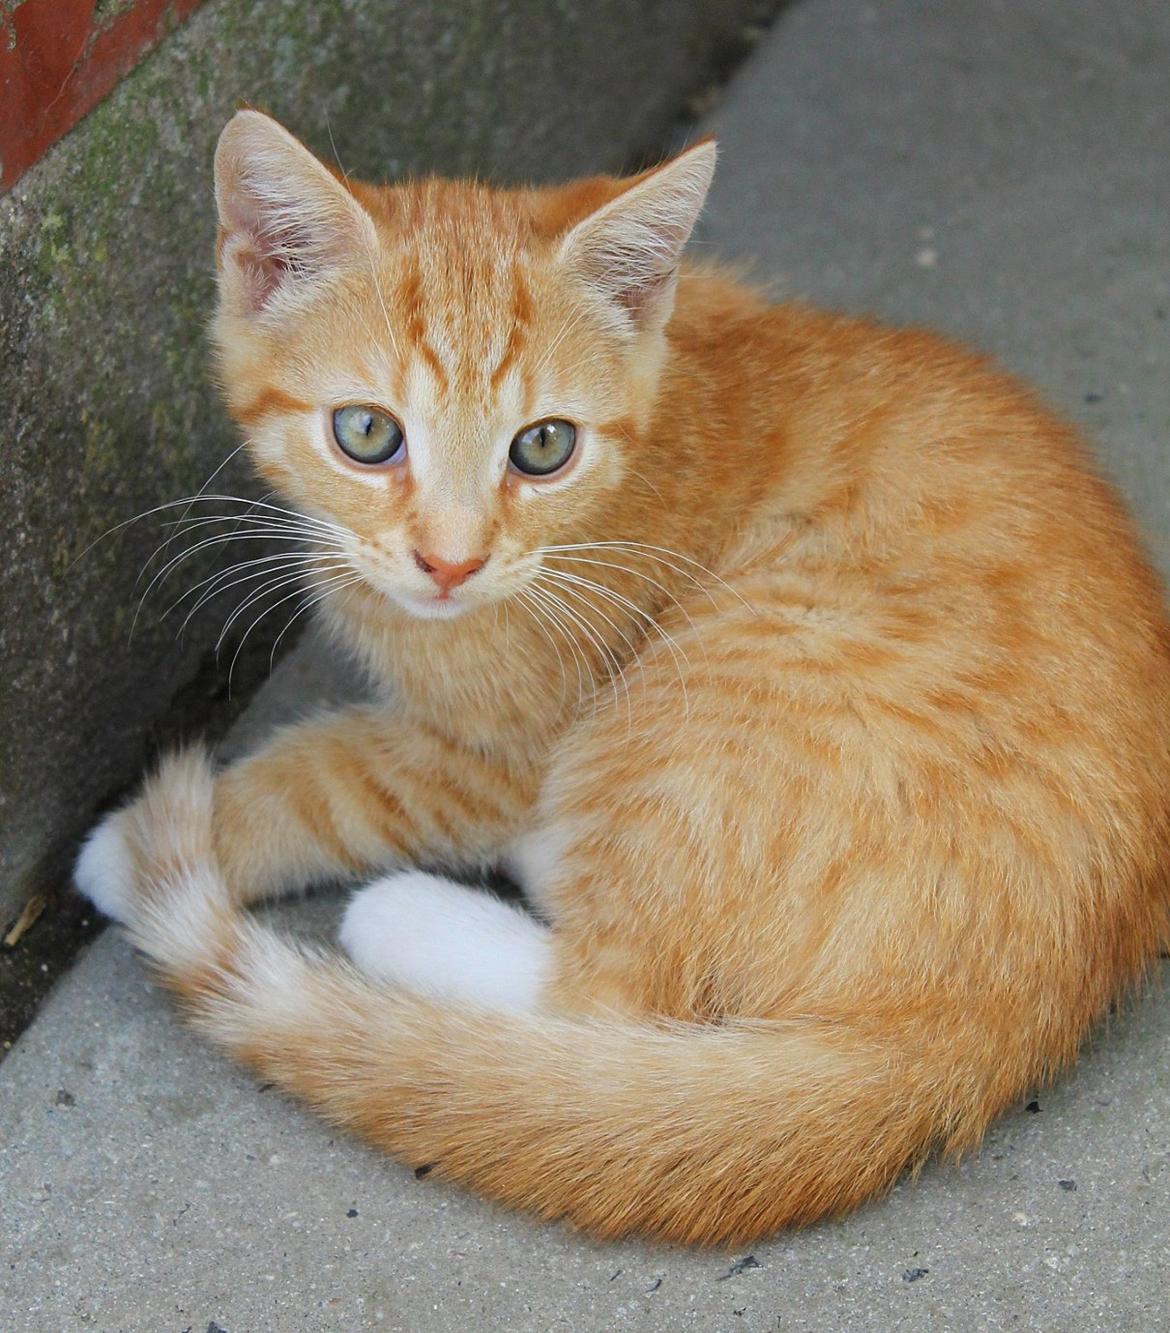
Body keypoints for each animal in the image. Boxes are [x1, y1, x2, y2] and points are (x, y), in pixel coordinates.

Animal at [75, 109, 1170, 1242]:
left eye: (543, 446)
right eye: (367, 432)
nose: (451, 561)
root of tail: (989, 1025)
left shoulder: (499, 750)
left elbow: (335, 780)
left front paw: (138, 843)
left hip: (721, 678)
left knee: (604, 997)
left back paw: (415, 909)